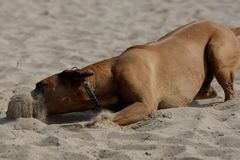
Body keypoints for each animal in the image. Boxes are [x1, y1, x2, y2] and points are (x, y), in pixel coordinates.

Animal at [31, 20, 240, 125]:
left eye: (40, 85)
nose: (29, 93)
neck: (110, 75)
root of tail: (227, 28)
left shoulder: (144, 104)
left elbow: (112, 118)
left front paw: (95, 121)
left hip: (218, 54)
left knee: (229, 92)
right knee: (208, 91)